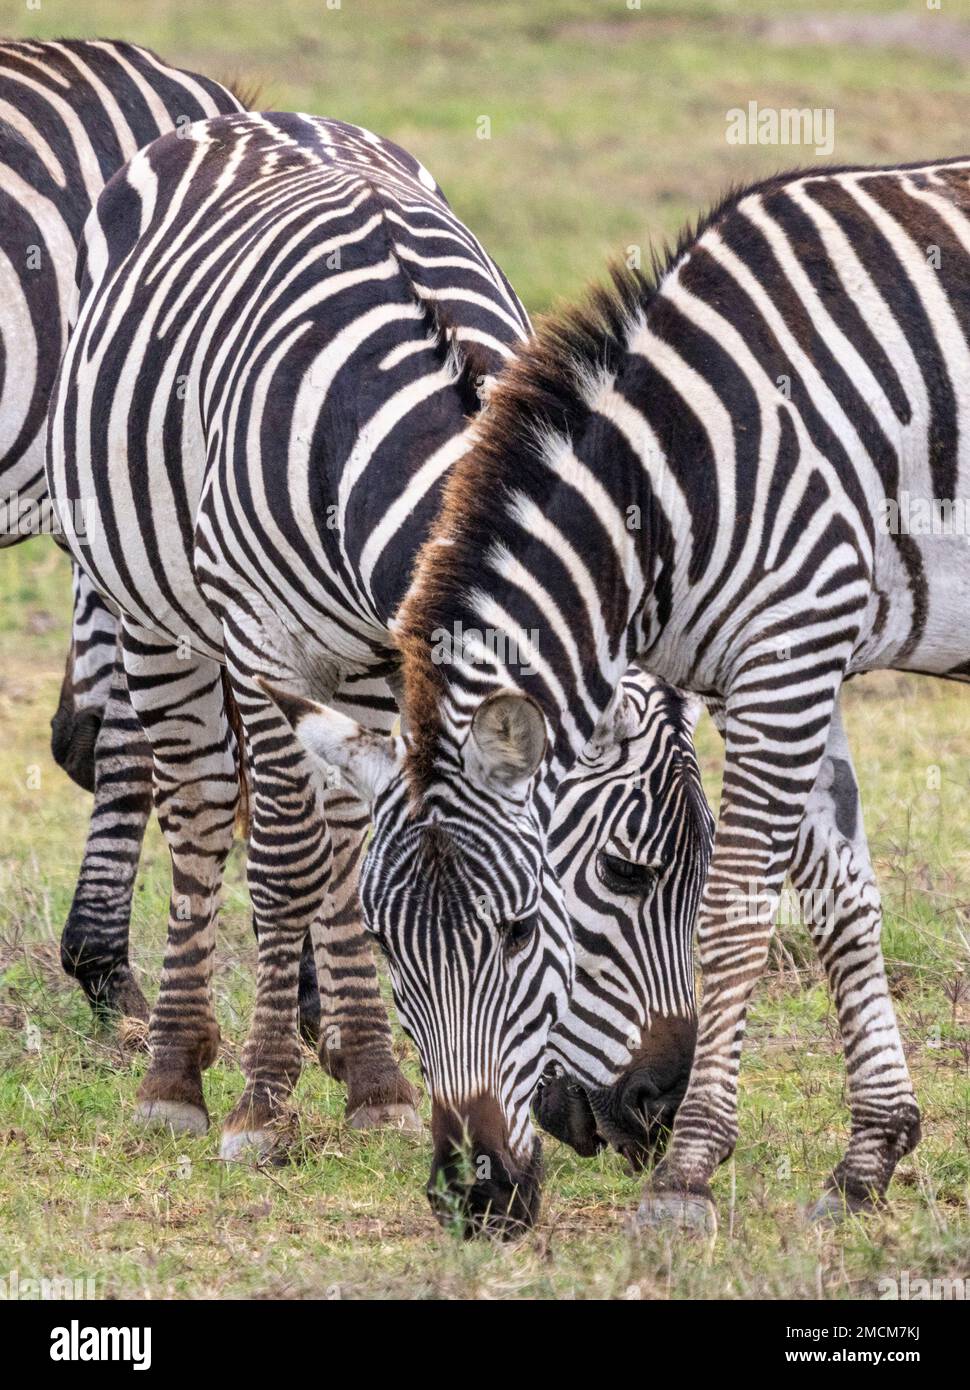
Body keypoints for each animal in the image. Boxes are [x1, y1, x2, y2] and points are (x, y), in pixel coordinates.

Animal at [47, 109, 714, 1223]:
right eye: (623, 871)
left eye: (703, 865)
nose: (656, 1106)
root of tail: (248, 116)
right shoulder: (264, 641)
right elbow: (283, 863)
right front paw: (262, 1110)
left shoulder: (383, 656)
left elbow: (353, 857)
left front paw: (375, 1090)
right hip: (151, 608)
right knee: (199, 809)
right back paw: (174, 1073)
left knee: (332, 824)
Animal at [279, 156, 970, 1233]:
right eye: (389, 945)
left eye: (524, 927)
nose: (476, 1195)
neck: (682, 479)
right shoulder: (793, 662)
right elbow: (840, 895)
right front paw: (869, 1157)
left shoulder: (790, 649)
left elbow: (739, 912)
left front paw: (688, 1173)